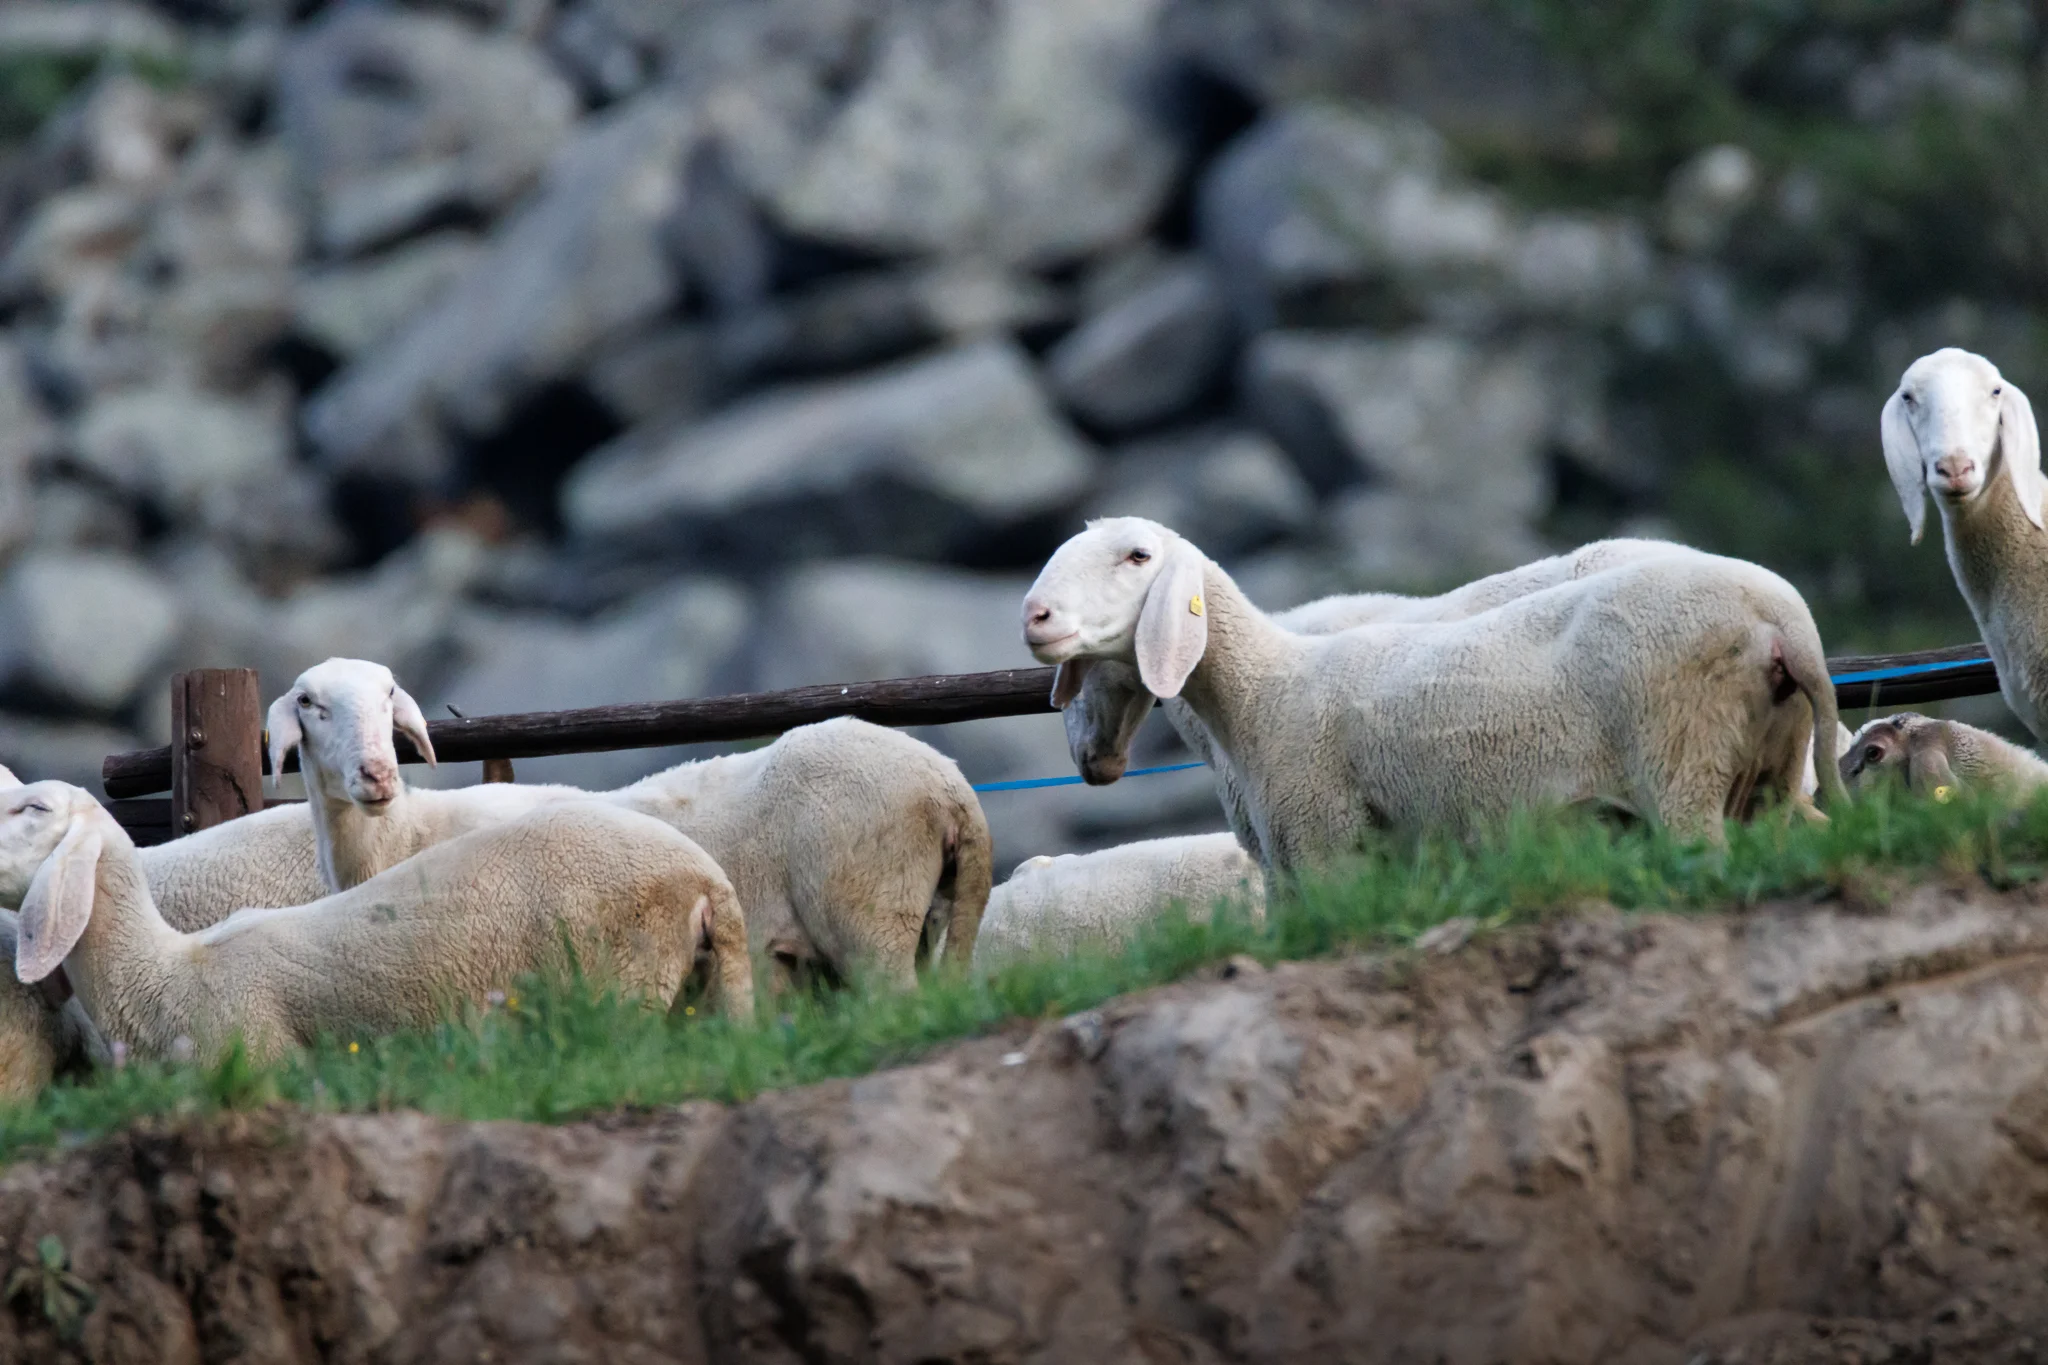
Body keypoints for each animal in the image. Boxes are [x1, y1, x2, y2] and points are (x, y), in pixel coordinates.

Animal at [269, 658, 990, 991]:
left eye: (390, 694)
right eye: (308, 702)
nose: (376, 775)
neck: (401, 835)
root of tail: (951, 784)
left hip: (868, 912)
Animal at [1023, 517, 1846, 870]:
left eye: (1137, 557)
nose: (1035, 615)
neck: (1269, 681)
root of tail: (1785, 618)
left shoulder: (1316, 840)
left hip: (1680, 761)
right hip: (1764, 775)